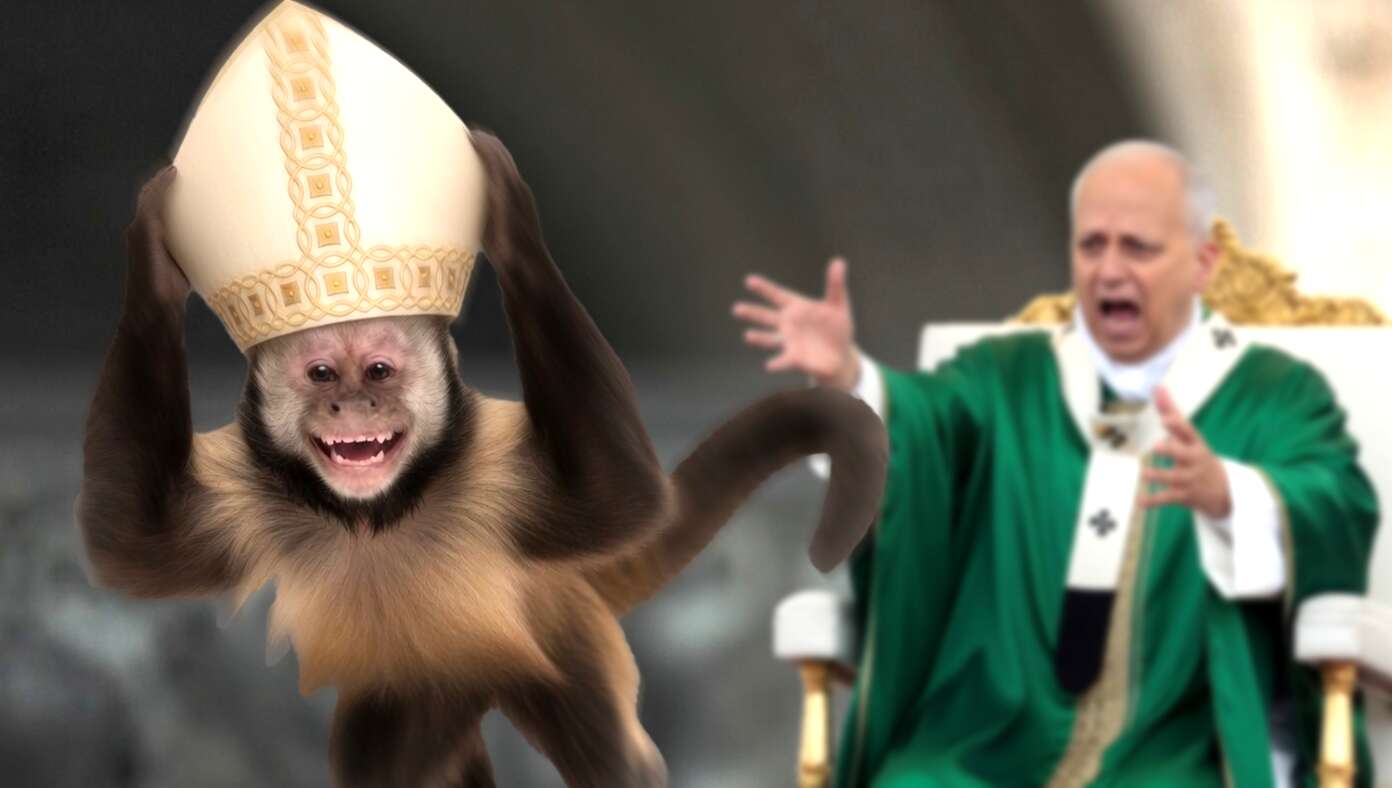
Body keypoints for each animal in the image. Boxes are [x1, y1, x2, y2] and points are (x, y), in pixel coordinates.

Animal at [78, 131, 887, 788]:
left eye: (378, 371)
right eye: (320, 374)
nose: (349, 407)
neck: (378, 516)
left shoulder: (493, 472)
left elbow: (622, 501)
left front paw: (512, 221)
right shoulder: (253, 484)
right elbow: (131, 548)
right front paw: (153, 259)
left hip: (559, 635)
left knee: (603, 750)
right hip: (429, 684)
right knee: (393, 758)